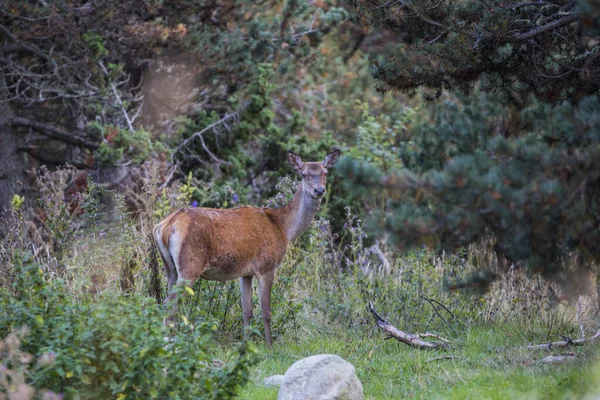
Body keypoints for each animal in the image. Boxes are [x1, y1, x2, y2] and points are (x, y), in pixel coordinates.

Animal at [152, 148, 340, 346]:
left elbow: (247, 311)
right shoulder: (267, 266)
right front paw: (270, 345)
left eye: (325, 172)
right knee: (169, 303)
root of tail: (166, 226)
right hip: (190, 266)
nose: (319, 190)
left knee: (167, 301)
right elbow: (266, 312)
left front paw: (246, 342)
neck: (283, 228)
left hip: (170, 268)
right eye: (303, 174)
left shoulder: (246, 273)